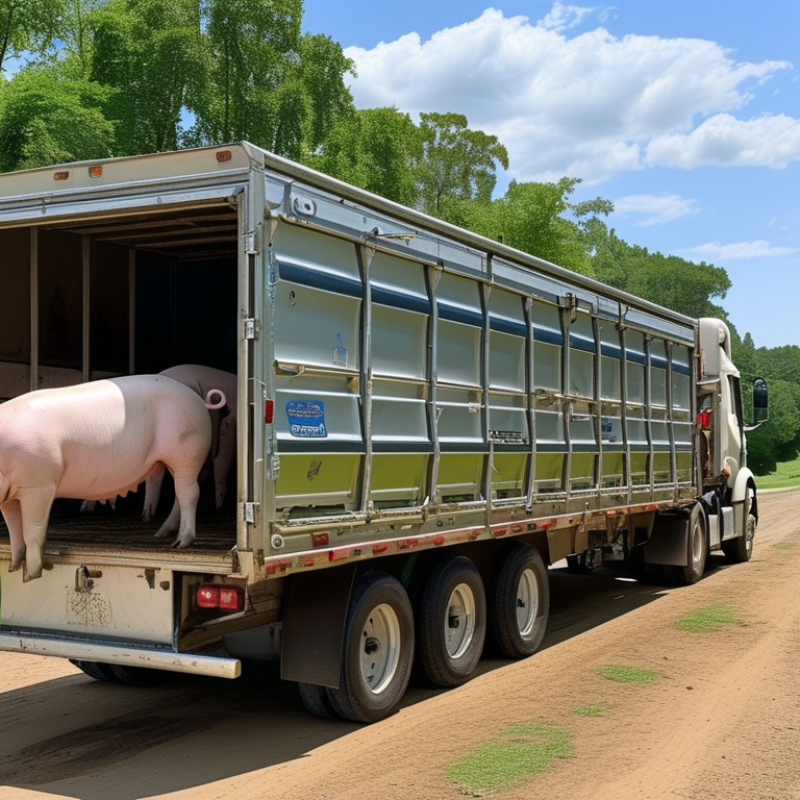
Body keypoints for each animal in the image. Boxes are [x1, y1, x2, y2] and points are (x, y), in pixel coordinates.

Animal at [0, 375, 216, 581]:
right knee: (179, 495)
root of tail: (197, 398)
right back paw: (162, 534)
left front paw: (30, 576)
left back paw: (180, 544)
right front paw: (13, 567)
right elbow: (14, 529)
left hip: (188, 451)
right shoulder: (11, 496)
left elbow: (32, 532)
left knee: (189, 493)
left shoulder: (39, 484)